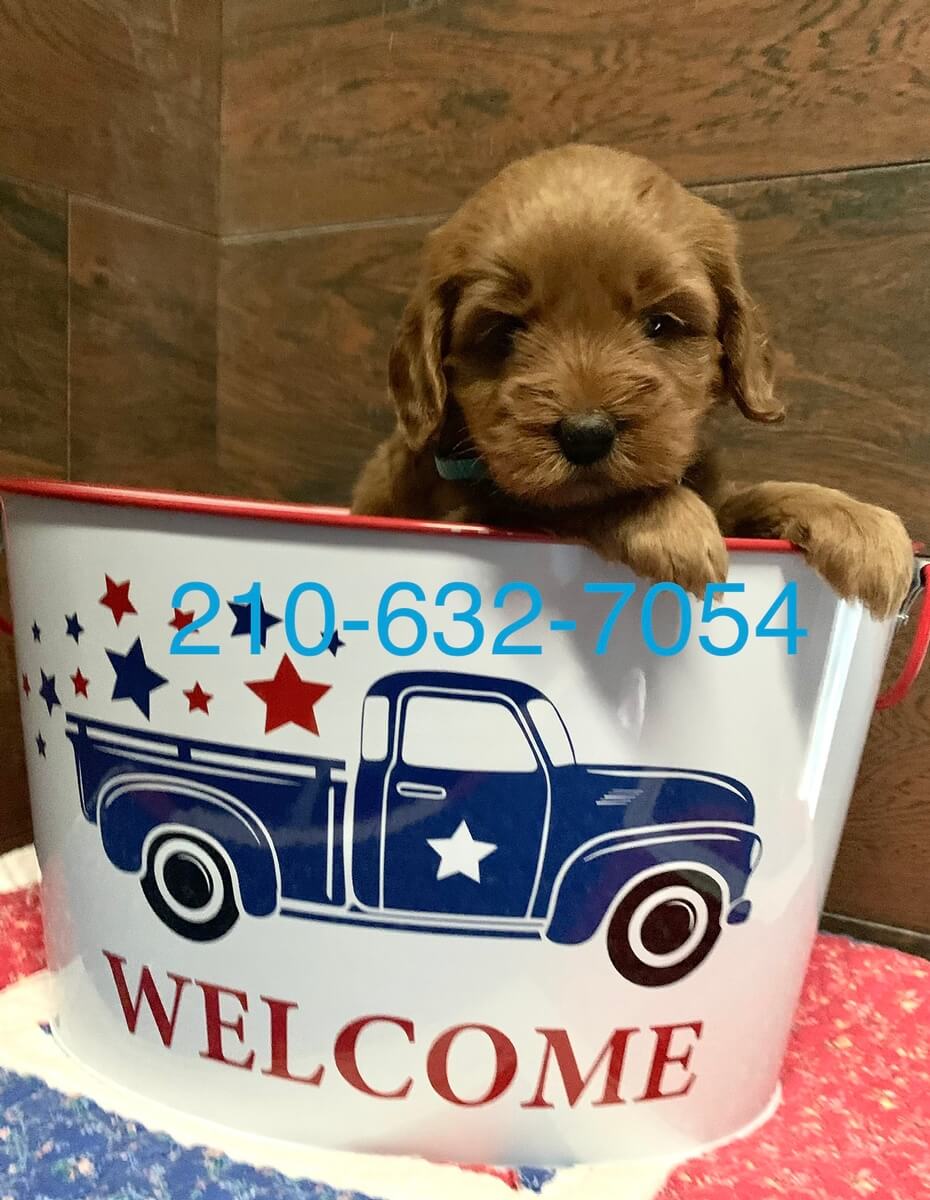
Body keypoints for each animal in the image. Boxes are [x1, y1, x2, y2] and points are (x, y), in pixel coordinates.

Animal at [351, 144, 913, 620]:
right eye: (503, 331)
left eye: (660, 324)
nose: (586, 435)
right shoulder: (472, 507)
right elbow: (556, 500)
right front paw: (664, 519)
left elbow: (755, 493)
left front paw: (857, 523)